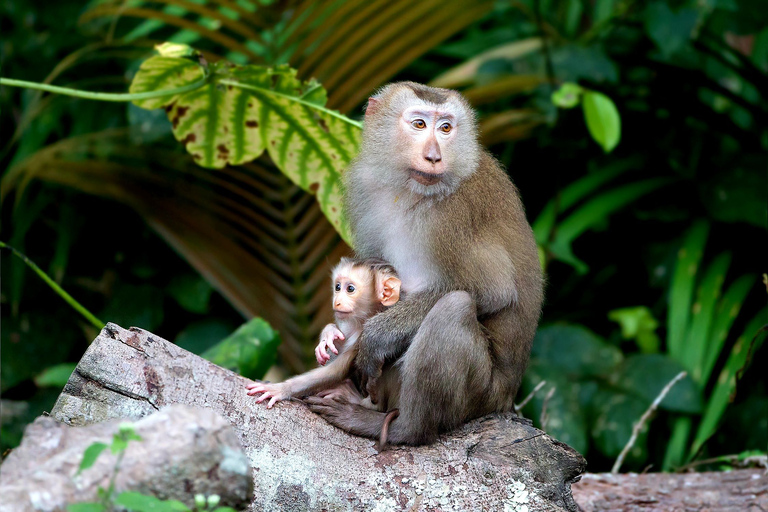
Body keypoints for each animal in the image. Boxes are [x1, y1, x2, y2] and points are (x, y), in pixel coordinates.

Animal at [246, 258, 402, 410]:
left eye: (350, 289)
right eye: (337, 287)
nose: (336, 302)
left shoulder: (364, 335)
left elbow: (336, 370)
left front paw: (280, 389)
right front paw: (328, 334)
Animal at [306, 82, 544, 446]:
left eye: (445, 128)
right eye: (419, 124)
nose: (434, 156)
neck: (411, 191)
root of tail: (506, 398)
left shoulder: (454, 216)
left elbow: (493, 291)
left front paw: (375, 337)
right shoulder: (366, 188)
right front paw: (335, 333)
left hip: (480, 395)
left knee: (454, 307)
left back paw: (402, 427)